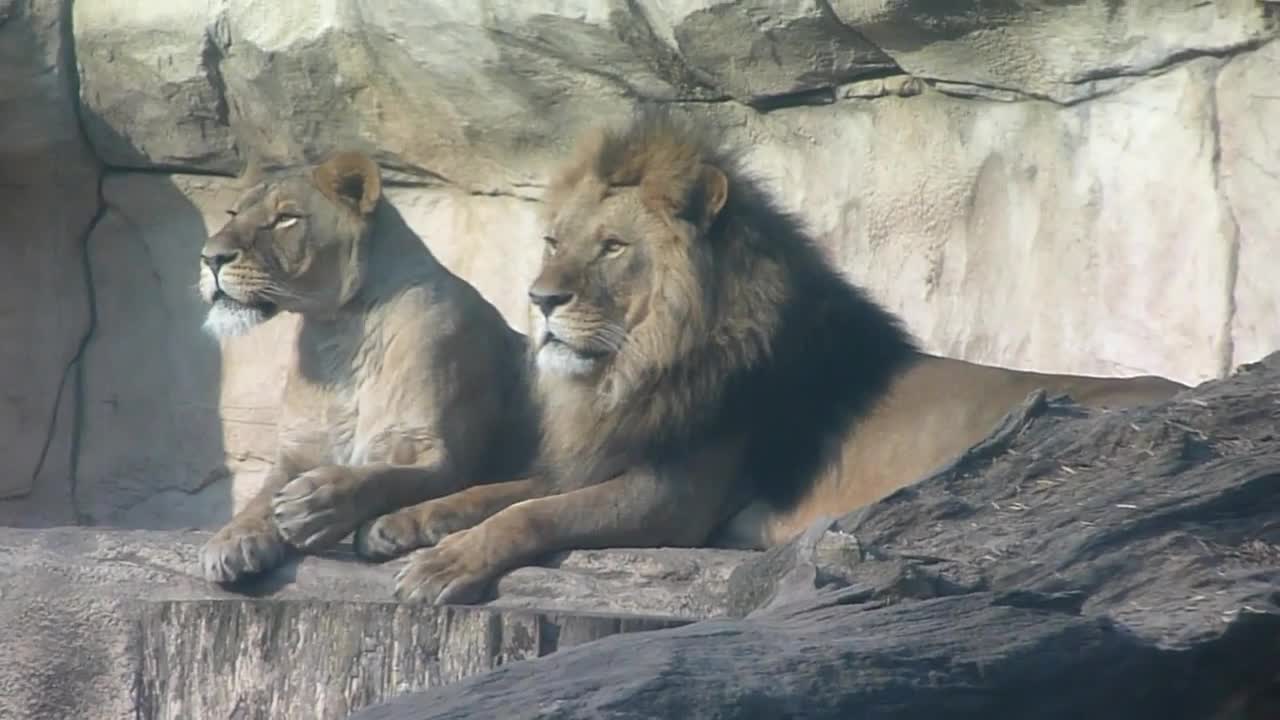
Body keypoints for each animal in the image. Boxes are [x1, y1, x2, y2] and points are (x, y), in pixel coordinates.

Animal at [197, 148, 537, 579]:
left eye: (286, 217)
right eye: (232, 212)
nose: (210, 257)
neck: (341, 335)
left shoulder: (436, 453)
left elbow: (383, 476)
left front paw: (317, 504)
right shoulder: (298, 450)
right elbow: (259, 498)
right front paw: (233, 539)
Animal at [391, 109, 1187, 602]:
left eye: (612, 247)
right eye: (554, 241)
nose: (540, 299)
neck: (637, 366)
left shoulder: (672, 500)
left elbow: (533, 513)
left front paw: (443, 563)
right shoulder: (611, 454)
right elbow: (504, 488)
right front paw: (406, 521)